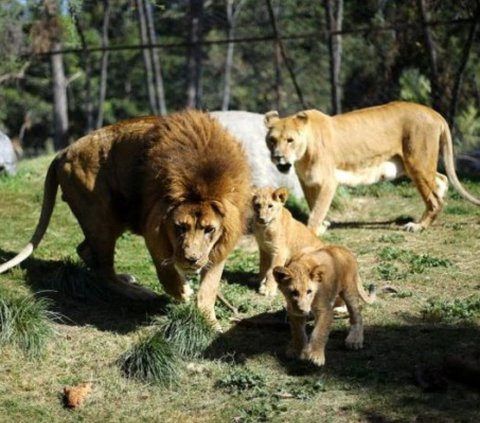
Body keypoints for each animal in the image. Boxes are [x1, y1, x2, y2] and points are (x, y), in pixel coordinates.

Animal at [0, 111, 253, 326]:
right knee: (104, 273)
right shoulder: (153, 227)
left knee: (86, 252)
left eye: (209, 230)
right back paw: (139, 292)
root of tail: (63, 152)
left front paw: (209, 321)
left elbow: (210, 286)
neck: (202, 180)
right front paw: (182, 291)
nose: (191, 259)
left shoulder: (220, 244)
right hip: (101, 215)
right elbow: (166, 272)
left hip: (113, 219)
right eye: (180, 227)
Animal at [264, 102, 480, 235]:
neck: (301, 156)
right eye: (272, 140)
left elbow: (316, 212)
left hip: (417, 162)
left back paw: (418, 226)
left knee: (434, 199)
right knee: (441, 179)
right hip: (411, 164)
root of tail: (434, 113)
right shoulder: (307, 182)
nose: (277, 156)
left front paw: (312, 232)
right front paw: (323, 226)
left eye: (290, 140)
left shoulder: (328, 181)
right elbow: (313, 205)